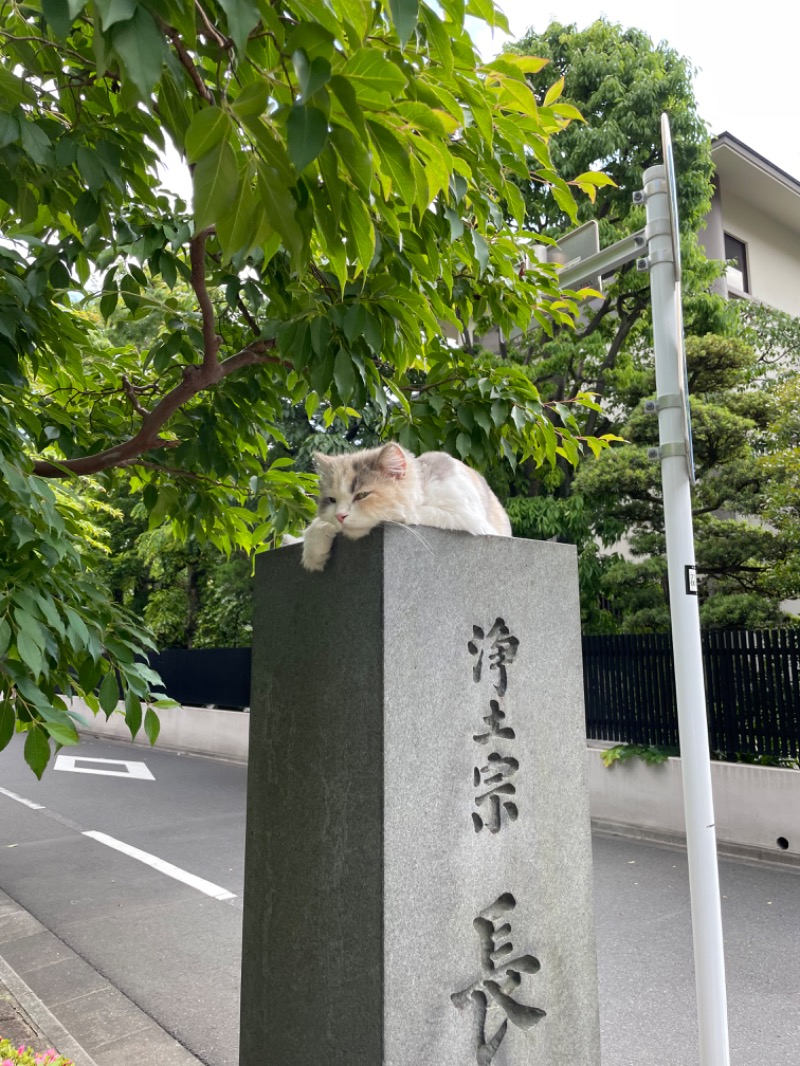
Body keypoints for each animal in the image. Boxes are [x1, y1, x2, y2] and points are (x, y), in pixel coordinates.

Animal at [300, 441, 514, 575]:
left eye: (362, 495)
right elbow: (319, 524)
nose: (340, 516)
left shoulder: (467, 516)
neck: (424, 488)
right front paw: (314, 550)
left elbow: (413, 513)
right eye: (332, 500)